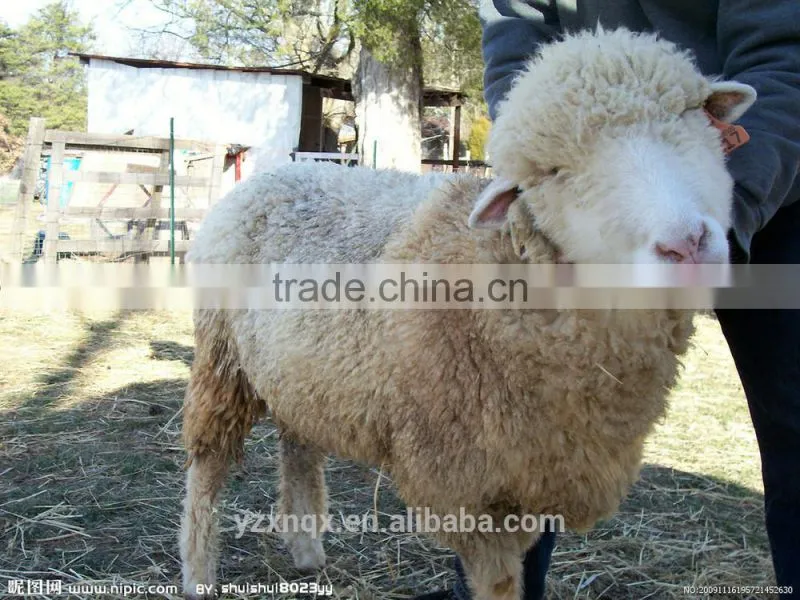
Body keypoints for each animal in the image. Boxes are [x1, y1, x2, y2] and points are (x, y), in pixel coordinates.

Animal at [179, 27, 756, 600]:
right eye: (553, 172)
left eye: (692, 115)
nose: (686, 244)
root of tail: (275, 173)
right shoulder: (465, 482)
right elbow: (497, 583)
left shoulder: (533, 470)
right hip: (222, 360)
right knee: (206, 467)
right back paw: (199, 572)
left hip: (302, 373)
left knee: (298, 446)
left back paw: (305, 550)